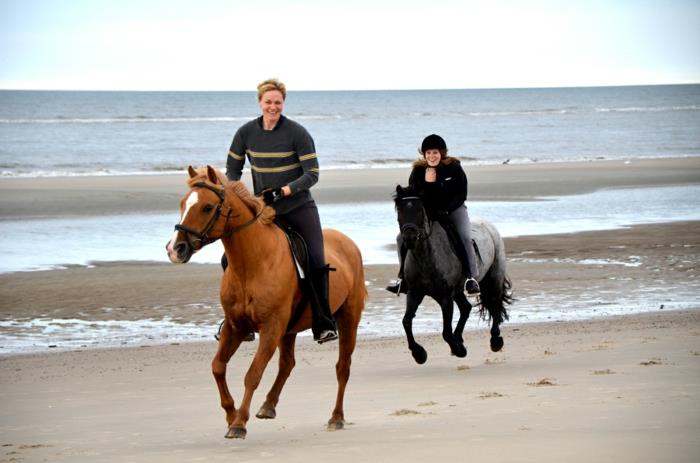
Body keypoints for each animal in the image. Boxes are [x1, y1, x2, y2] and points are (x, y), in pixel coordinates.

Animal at [166, 166, 366, 438]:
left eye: (207, 207)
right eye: (182, 204)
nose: (175, 249)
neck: (252, 264)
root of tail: (349, 243)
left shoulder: (271, 327)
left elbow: (253, 374)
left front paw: (239, 423)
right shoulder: (235, 327)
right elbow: (218, 366)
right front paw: (230, 414)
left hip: (348, 319)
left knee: (342, 368)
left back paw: (336, 417)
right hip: (289, 330)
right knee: (287, 364)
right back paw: (268, 406)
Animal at [394, 187, 508, 364]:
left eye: (420, 210)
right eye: (400, 210)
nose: (409, 238)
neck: (425, 257)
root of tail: (488, 225)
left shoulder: (445, 297)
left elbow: (446, 332)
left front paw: (458, 350)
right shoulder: (414, 293)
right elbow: (406, 321)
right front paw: (419, 354)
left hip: (494, 277)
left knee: (495, 303)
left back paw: (495, 340)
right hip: (458, 290)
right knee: (466, 308)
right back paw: (459, 338)